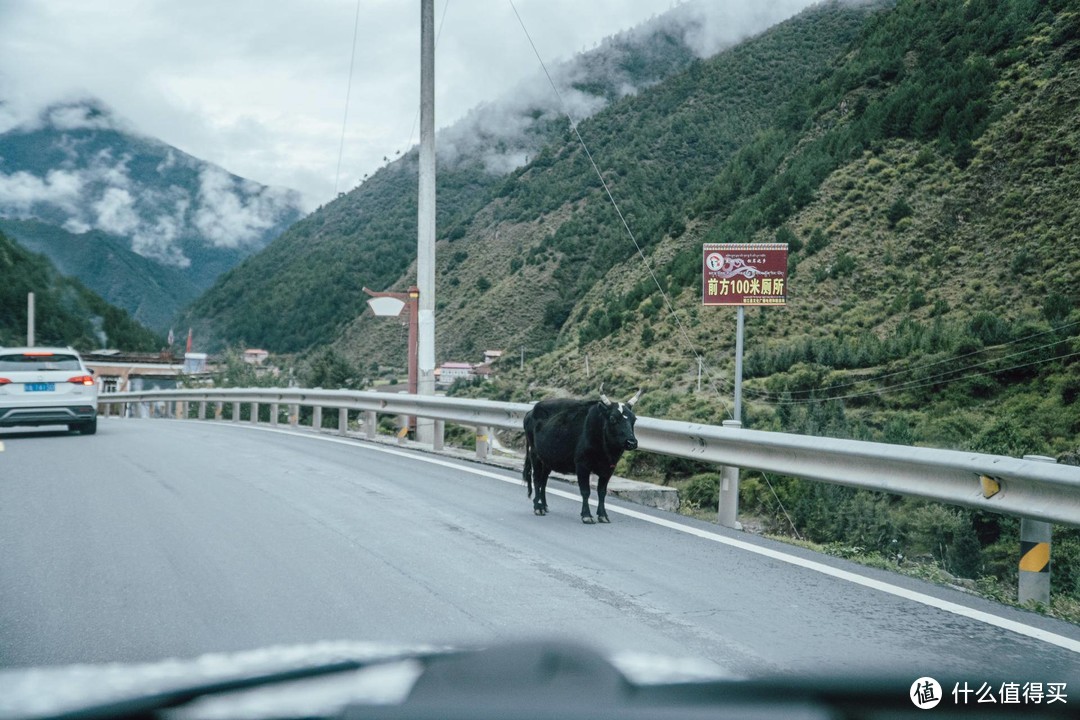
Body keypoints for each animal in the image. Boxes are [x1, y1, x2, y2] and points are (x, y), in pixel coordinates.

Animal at [522, 388, 639, 524]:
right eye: (613, 418)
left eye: (634, 419)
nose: (631, 442)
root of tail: (530, 412)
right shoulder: (582, 465)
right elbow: (585, 491)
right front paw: (587, 515)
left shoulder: (609, 468)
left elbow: (602, 492)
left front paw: (603, 515)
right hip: (535, 455)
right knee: (536, 479)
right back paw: (538, 507)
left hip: (547, 459)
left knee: (543, 481)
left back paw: (544, 506)